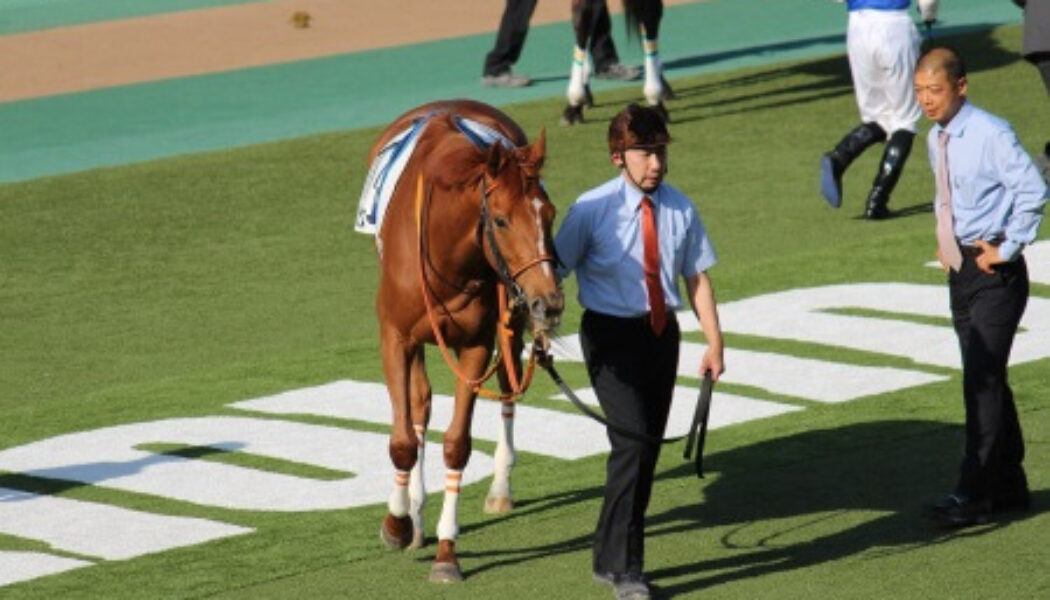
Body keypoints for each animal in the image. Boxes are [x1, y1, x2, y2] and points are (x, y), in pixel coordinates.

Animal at [359, 99, 564, 583]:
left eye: (549, 214)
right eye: (502, 220)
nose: (550, 303)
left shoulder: (476, 342)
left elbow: (457, 444)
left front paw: (447, 552)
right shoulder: (395, 337)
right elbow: (403, 438)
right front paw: (398, 522)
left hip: (511, 317)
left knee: (508, 387)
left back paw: (500, 486)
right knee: (418, 405)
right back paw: (412, 511)